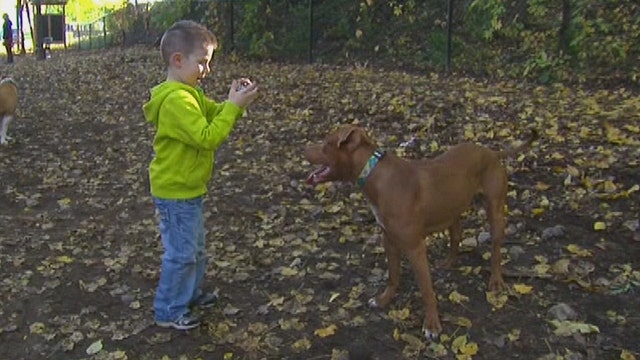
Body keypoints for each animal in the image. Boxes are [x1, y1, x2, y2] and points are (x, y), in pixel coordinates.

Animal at [304, 126, 540, 340]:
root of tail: (491, 152)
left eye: (325, 145)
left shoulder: (415, 248)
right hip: (451, 207)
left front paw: (432, 324)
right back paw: (449, 262)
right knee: (456, 234)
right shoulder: (389, 239)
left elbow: (426, 290)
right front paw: (384, 299)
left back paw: (496, 280)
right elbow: (393, 275)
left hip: (495, 210)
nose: (304, 149)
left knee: (496, 248)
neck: (374, 174)